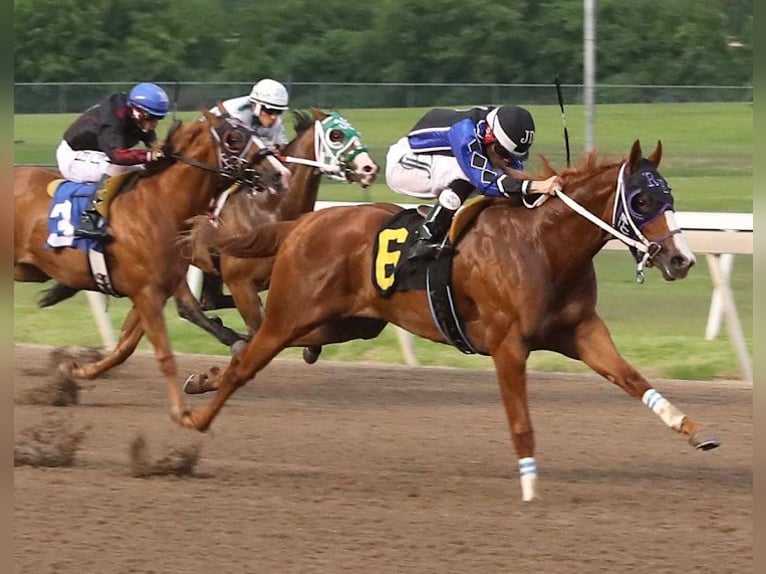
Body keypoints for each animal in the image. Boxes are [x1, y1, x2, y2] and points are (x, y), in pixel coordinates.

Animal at [13, 107, 290, 424]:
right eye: (234, 138)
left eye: (253, 132)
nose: (280, 174)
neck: (160, 205)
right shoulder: (147, 293)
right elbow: (164, 354)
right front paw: (182, 411)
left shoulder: (152, 290)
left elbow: (125, 347)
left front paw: (75, 370)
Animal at [174, 108, 379, 350]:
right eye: (336, 135)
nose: (369, 169)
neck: (268, 211)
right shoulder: (240, 282)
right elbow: (261, 327)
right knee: (188, 307)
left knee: (208, 302)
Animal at [177, 139, 721, 501]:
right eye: (643, 199)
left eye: (669, 196)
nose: (681, 260)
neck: (544, 245)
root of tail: (304, 221)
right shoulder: (508, 344)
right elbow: (521, 421)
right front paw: (529, 485)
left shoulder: (582, 331)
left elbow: (632, 378)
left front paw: (693, 429)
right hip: (293, 309)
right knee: (250, 361)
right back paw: (192, 427)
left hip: (352, 320)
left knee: (276, 346)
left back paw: (203, 378)